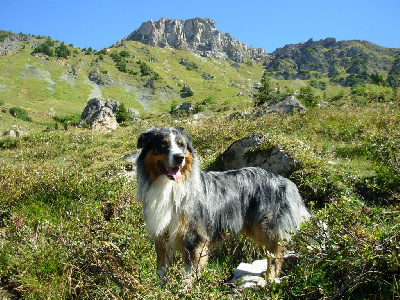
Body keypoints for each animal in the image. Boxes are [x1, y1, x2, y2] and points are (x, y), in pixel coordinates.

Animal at [134, 126, 310, 284]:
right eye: (163, 145)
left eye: (181, 145)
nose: (179, 157)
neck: (169, 187)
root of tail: (283, 180)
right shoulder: (161, 235)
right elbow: (162, 268)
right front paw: (162, 289)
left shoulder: (194, 237)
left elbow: (189, 273)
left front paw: (184, 290)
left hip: (266, 226)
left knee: (275, 253)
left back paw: (270, 278)